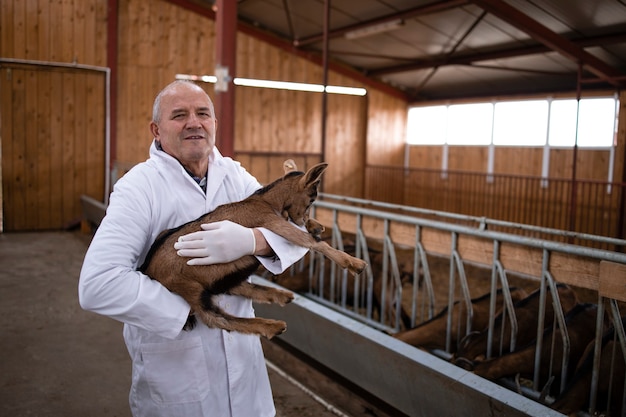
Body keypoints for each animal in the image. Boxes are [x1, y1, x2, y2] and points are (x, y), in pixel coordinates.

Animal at [140, 159, 366, 338]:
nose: (303, 219)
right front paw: (355, 264)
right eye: (311, 200)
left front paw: (316, 226)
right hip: (187, 287)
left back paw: (280, 295)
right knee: (215, 318)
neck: (265, 200)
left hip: (214, 278)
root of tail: (147, 269)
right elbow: (311, 242)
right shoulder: (270, 221)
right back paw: (272, 326)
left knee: (238, 287)